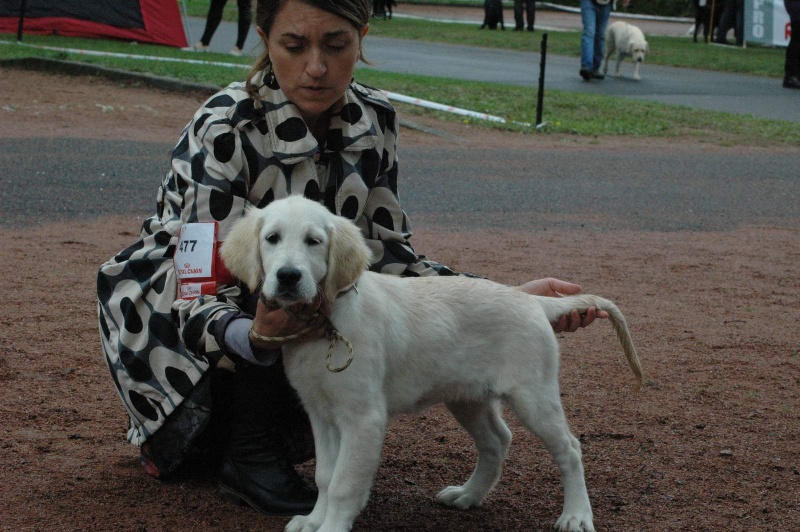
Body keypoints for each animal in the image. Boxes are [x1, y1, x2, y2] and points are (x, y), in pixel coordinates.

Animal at [220, 195, 644, 532]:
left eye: (314, 242)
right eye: (272, 239)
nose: (288, 276)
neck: (328, 323)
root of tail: (531, 299)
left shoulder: (363, 416)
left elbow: (343, 482)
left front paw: (331, 526)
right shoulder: (321, 413)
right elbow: (326, 475)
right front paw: (313, 520)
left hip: (533, 395)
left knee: (569, 449)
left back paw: (576, 515)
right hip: (468, 397)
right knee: (497, 441)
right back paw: (468, 495)